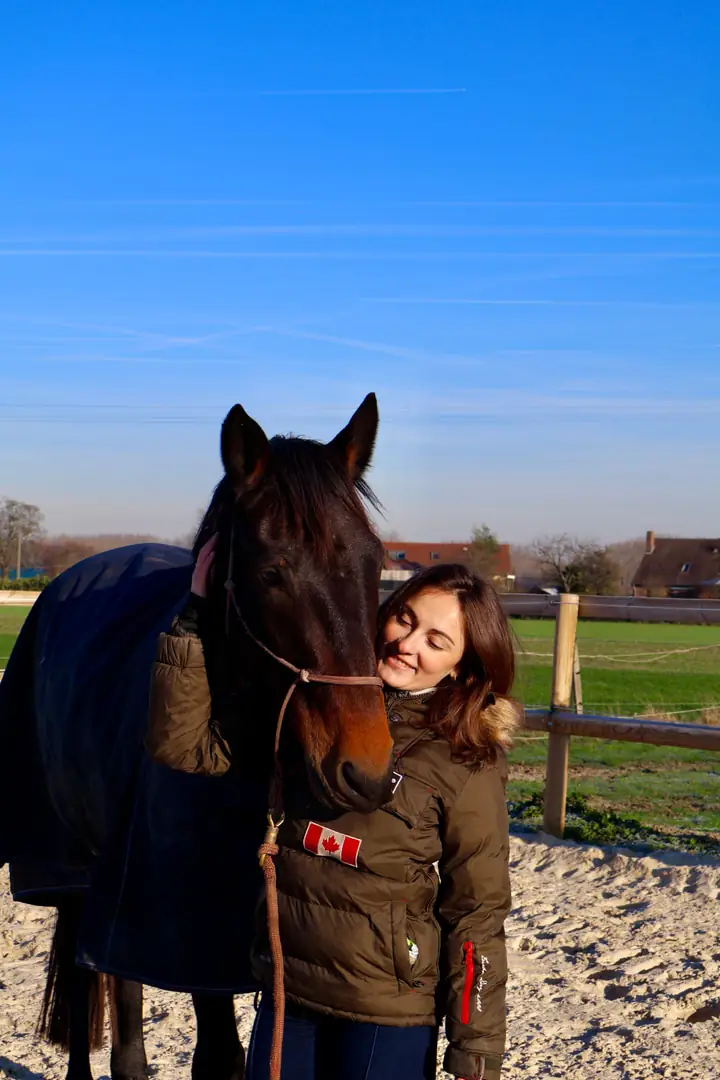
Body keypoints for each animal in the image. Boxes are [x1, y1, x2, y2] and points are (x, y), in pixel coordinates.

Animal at [0, 392, 394, 1080]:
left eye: (373, 564)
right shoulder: (181, 936)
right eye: (272, 573)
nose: (365, 768)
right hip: (80, 870)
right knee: (94, 989)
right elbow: (214, 1055)